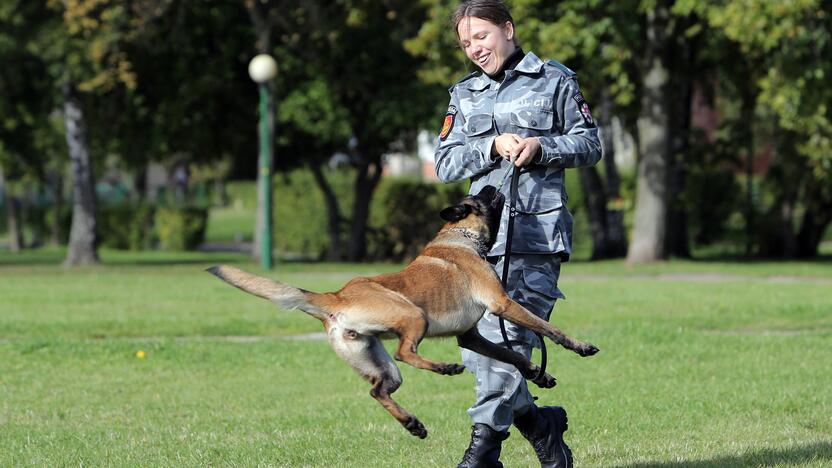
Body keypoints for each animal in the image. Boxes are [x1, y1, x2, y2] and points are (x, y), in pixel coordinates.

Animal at [208, 184, 600, 438]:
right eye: (481, 196)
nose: (494, 181)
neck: (461, 236)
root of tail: (336, 296)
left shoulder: (470, 337)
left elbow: (512, 355)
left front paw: (538, 375)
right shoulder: (502, 304)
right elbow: (547, 329)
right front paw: (580, 346)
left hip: (376, 360)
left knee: (379, 390)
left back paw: (412, 422)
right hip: (414, 317)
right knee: (405, 351)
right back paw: (444, 368)